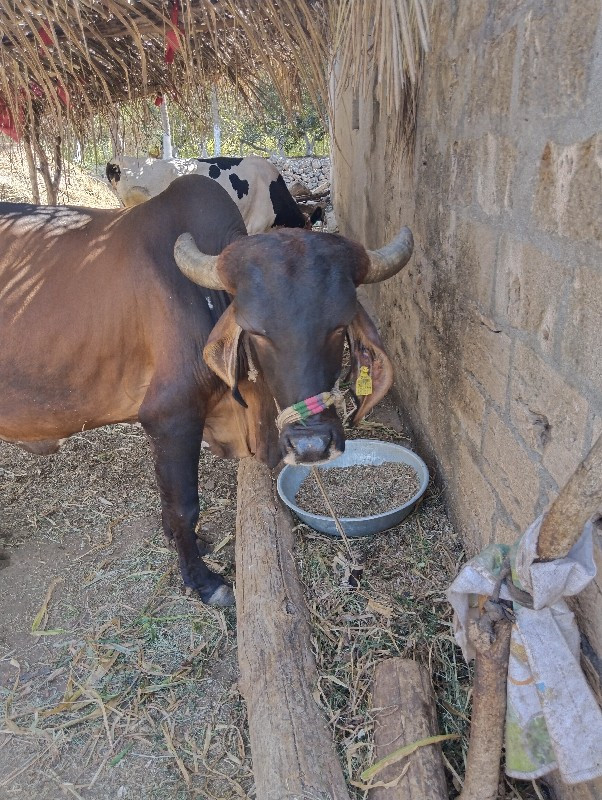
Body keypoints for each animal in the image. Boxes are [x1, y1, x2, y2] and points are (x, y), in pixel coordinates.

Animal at [0, 175, 410, 608]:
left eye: (339, 325)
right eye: (257, 332)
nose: (311, 445)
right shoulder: (171, 418)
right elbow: (182, 507)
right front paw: (202, 580)